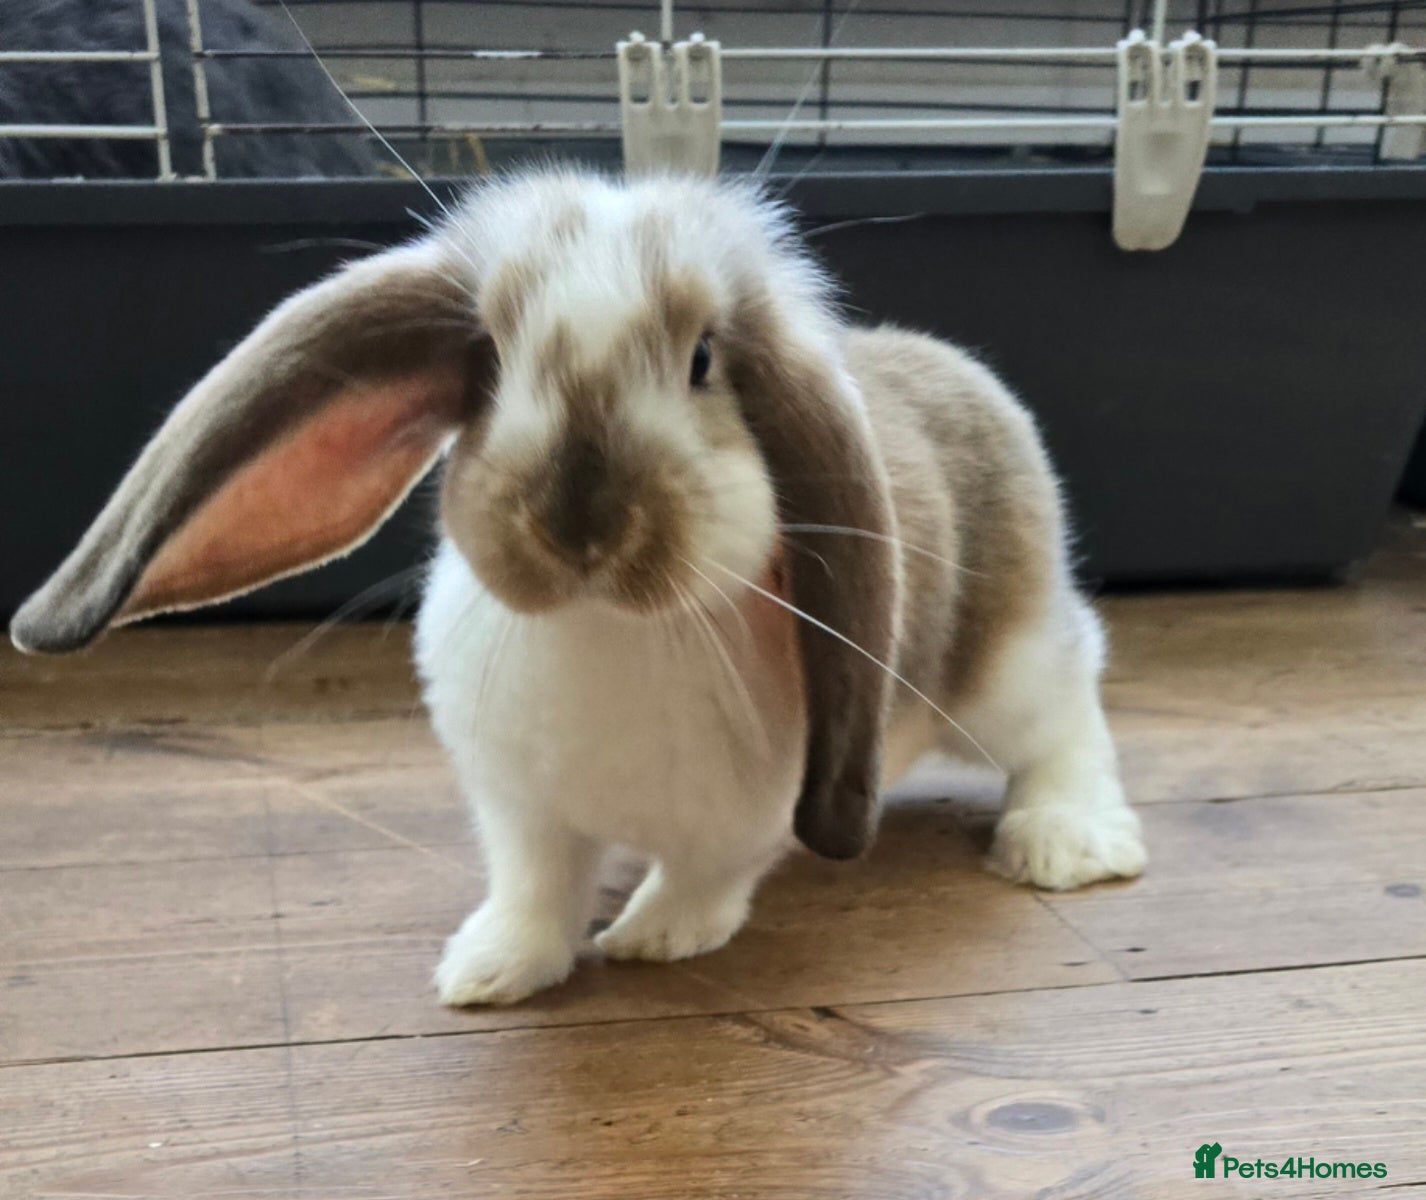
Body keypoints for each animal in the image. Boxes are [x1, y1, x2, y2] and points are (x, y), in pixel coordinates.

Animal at [9, 168, 1146, 1006]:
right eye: (491, 359)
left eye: (703, 360)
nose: (579, 526)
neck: (606, 629)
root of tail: (963, 371)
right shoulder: (519, 810)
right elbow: (535, 887)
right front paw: (485, 971)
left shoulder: (747, 817)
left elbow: (708, 873)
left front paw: (655, 938)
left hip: (1005, 670)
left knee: (1071, 708)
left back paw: (1063, 841)